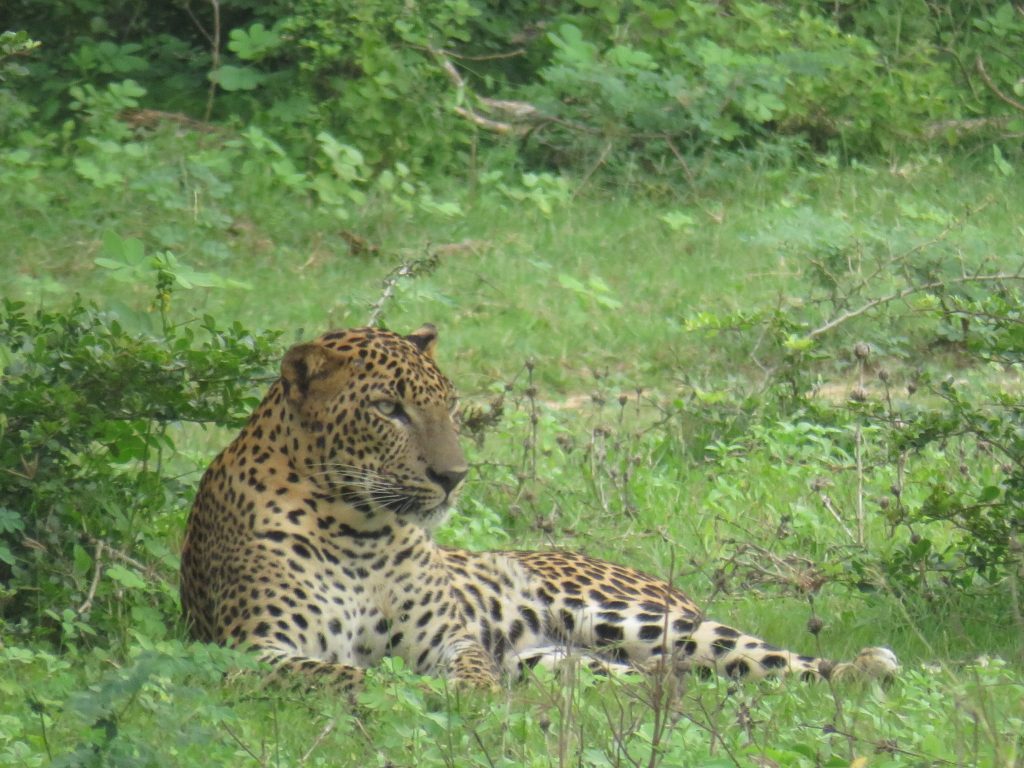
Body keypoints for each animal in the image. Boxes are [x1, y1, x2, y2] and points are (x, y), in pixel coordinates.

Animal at [180, 324, 898, 691]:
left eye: (447, 403)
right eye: (387, 408)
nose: (453, 477)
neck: (358, 528)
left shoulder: (449, 639)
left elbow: (460, 669)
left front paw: (473, 700)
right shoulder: (256, 652)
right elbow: (355, 677)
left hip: (628, 617)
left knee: (758, 657)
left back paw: (865, 667)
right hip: (557, 656)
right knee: (651, 678)